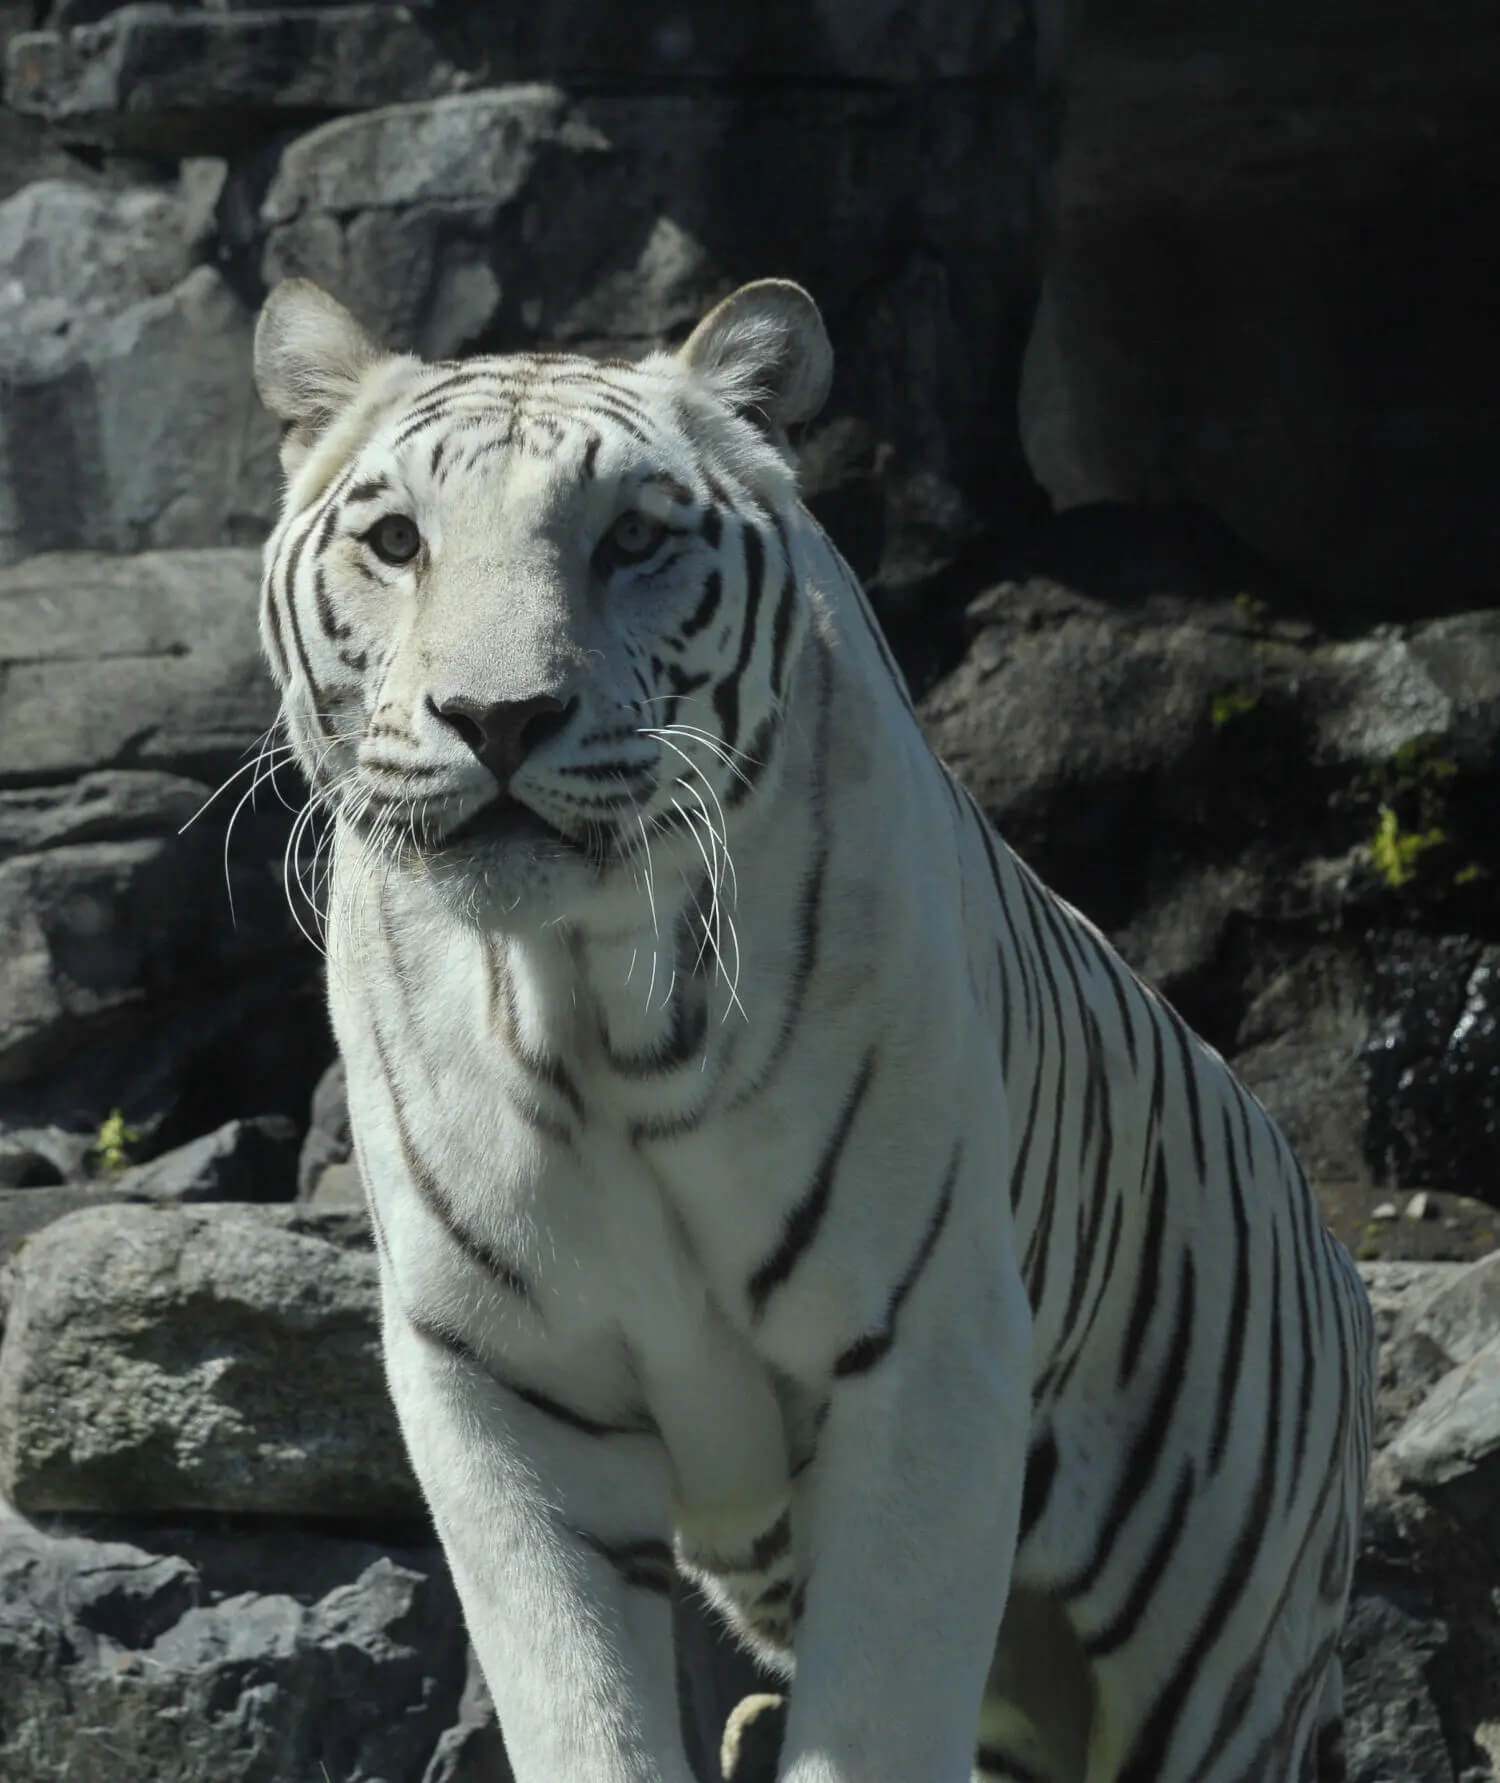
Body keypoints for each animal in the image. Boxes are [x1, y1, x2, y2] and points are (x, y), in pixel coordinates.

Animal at [251, 272, 1375, 1783]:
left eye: (632, 537)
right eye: (396, 540)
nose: (498, 716)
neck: (581, 999)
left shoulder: (923, 1352)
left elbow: (879, 1713)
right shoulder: (497, 1385)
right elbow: (579, 1704)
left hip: (1218, 1654)